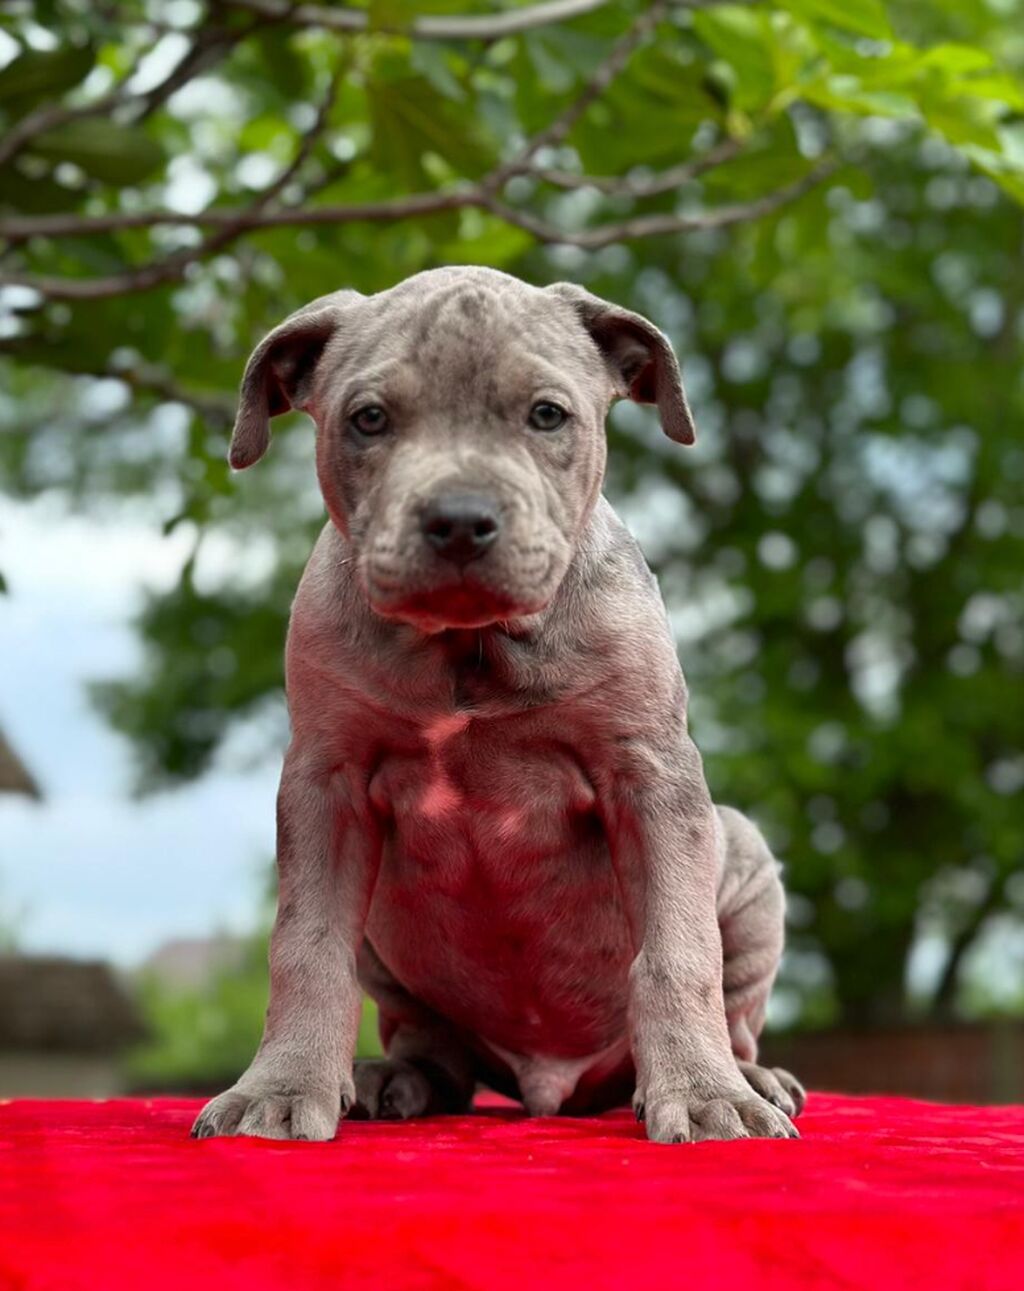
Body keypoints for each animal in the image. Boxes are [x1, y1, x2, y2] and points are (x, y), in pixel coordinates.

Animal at [189, 267, 800, 1146]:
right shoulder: (324, 784)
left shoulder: (650, 775)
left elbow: (678, 951)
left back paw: (748, 1075)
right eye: (368, 418)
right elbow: (304, 946)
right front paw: (279, 1086)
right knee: (434, 1047)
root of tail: (555, 1087)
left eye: (546, 414)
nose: (458, 520)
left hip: (744, 862)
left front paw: (706, 1092)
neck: (468, 644)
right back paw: (391, 1078)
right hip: (389, 940)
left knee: (734, 1002)